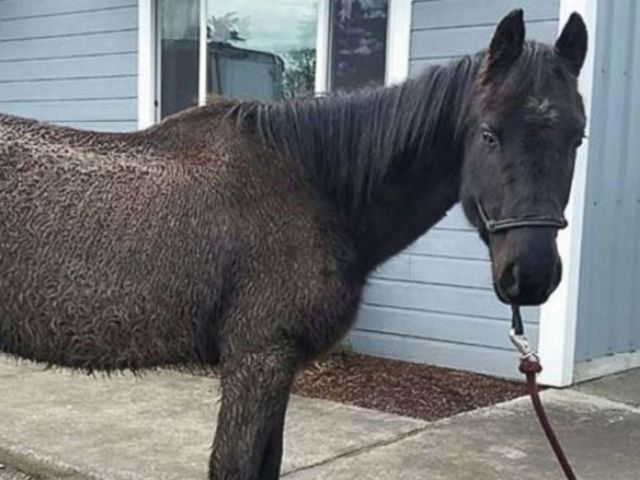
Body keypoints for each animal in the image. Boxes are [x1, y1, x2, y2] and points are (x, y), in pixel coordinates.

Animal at [0, 9, 587, 480]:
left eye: (577, 136)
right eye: (488, 133)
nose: (531, 273)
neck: (310, 183)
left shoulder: (278, 369)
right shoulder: (257, 360)